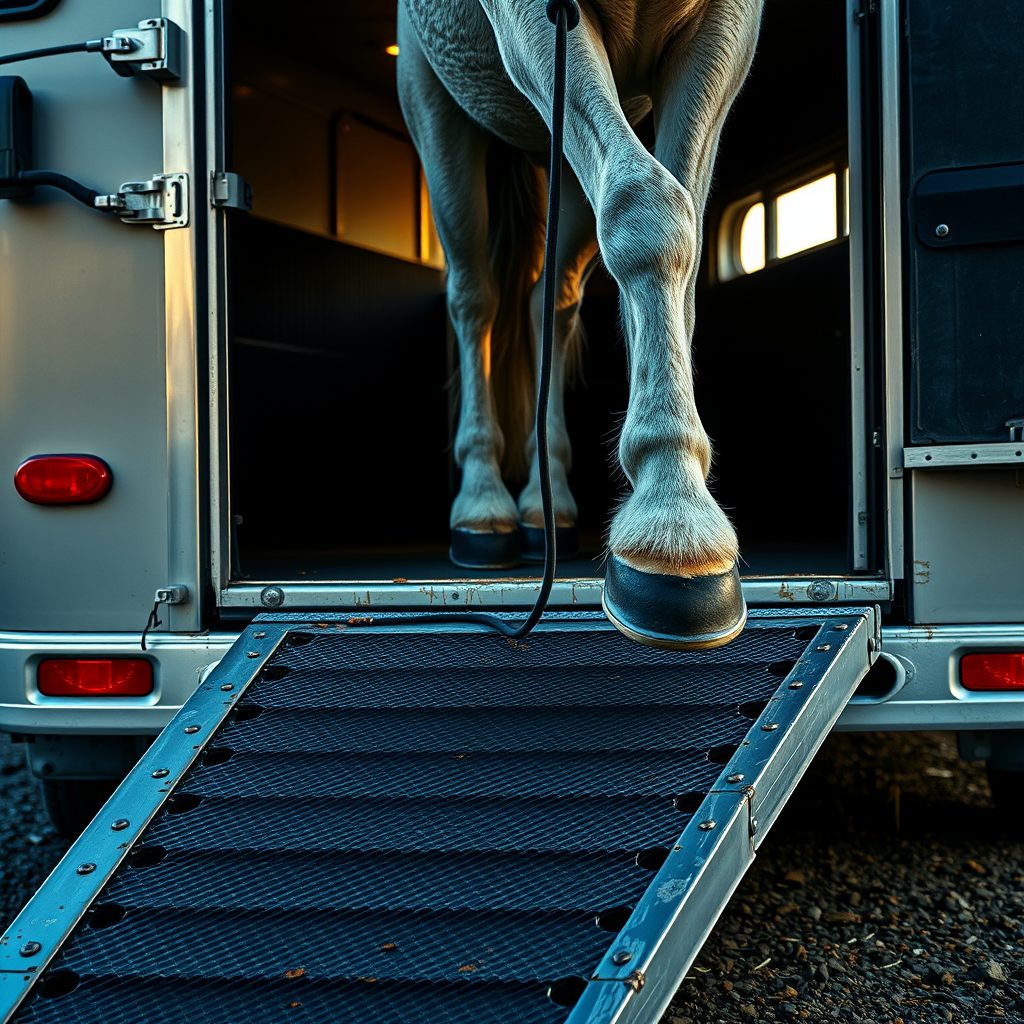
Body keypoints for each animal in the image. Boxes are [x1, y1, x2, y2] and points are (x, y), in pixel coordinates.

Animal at [397, 0, 762, 649]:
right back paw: (483, 505)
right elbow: (647, 207)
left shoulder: (725, 30)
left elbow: (684, 240)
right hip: (435, 107)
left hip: (559, 159)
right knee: (473, 298)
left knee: (551, 300)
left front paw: (674, 489)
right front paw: (671, 521)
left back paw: (549, 507)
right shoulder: (537, 21)